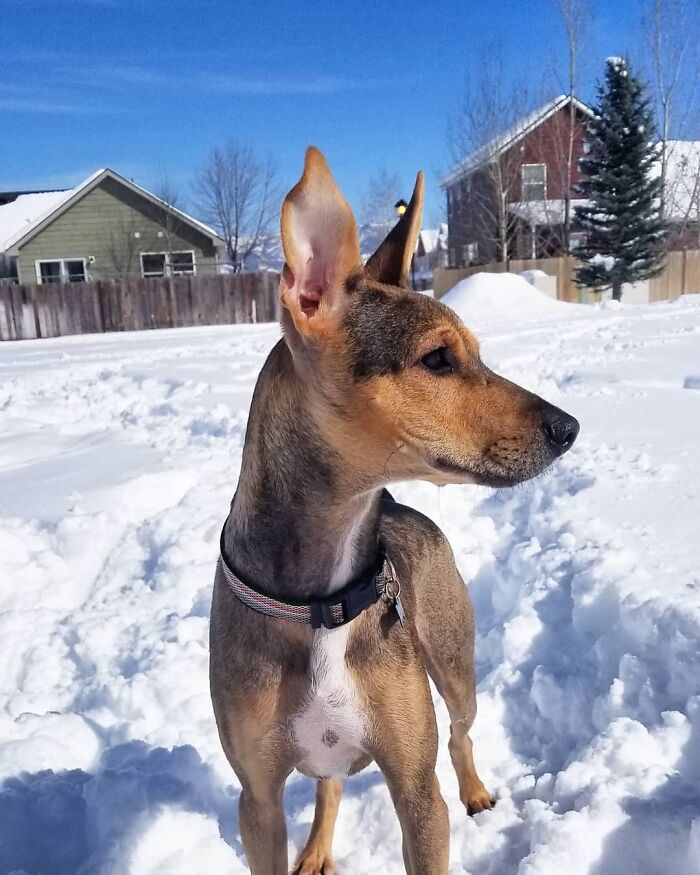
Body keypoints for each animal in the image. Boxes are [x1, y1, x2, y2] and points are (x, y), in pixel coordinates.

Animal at [211, 147, 584, 872]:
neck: (321, 599)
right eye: (436, 358)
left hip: (454, 662)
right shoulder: (256, 800)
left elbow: (430, 786)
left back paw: (477, 793)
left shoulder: (415, 787)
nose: (569, 427)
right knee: (328, 784)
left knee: (461, 735)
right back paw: (318, 850)